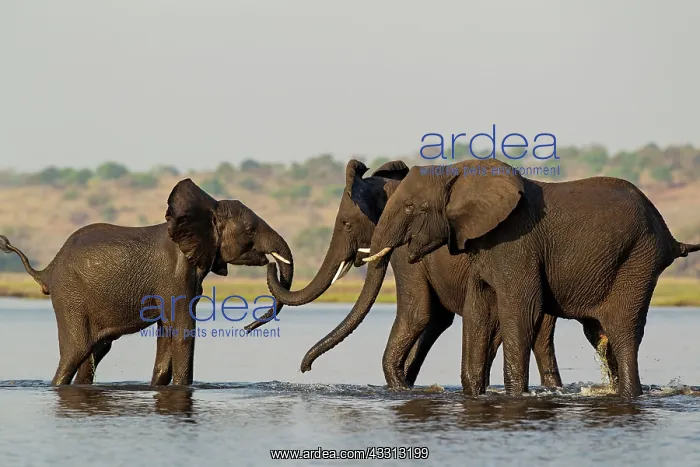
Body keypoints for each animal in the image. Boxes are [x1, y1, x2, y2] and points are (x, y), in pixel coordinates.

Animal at [0, 178, 294, 386]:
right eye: (251, 230)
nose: (247, 328)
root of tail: (47, 270)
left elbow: (167, 332)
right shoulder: (175, 276)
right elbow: (183, 330)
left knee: (95, 351)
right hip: (70, 296)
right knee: (75, 352)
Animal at [252, 159, 563, 390]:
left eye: (346, 223)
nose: (305, 368)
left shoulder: (406, 251)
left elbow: (418, 314)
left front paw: (400, 387)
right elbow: (436, 319)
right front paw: (408, 384)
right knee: (541, 337)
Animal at [363, 158, 700, 398]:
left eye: (411, 207)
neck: (459, 173)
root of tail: (670, 237)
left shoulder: (515, 244)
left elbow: (520, 312)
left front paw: (514, 396)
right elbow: (478, 313)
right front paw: (475, 395)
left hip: (638, 259)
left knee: (623, 331)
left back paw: (630, 395)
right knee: (600, 335)